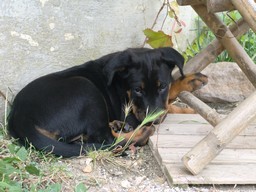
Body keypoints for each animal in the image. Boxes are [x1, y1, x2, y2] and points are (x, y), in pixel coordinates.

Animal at [7, 47, 184, 157]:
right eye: (137, 90)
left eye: (162, 86)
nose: (155, 119)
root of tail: (20, 116)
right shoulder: (130, 113)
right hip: (86, 89)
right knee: (106, 139)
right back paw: (140, 133)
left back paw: (119, 125)